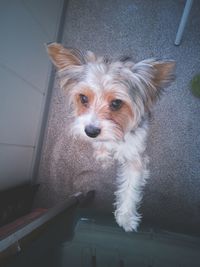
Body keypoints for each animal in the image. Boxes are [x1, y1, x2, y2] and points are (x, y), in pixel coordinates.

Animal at [47, 43, 175, 232]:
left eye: (116, 103)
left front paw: (126, 218)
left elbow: (130, 186)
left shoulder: (135, 156)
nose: (91, 131)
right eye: (83, 98)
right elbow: (101, 147)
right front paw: (103, 156)